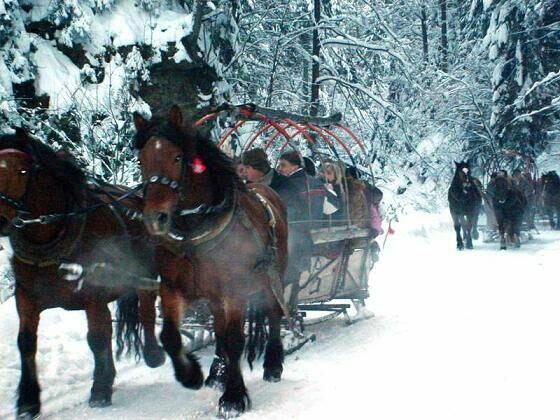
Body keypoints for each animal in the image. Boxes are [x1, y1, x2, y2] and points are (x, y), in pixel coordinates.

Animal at [0, 130, 166, 418]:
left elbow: (97, 338)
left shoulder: (93, 294)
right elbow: (26, 343)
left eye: (22, 171)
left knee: (145, 310)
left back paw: (153, 354)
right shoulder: (26, 298)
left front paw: (100, 390)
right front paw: (28, 401)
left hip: (145, 273)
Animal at [135, 107, 288, 416]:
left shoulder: (235, 289)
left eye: (177, 157)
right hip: (217, 297)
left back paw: (273, 365)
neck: (194, 235)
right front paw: (191, 374)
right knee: (219, 330)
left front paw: (233, 397)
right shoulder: (172, 288)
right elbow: (170, 336)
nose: (154, 218)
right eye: (141, 159)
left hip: (271, 279)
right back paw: (217, 373)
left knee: (274, 315)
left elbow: (235, 340)